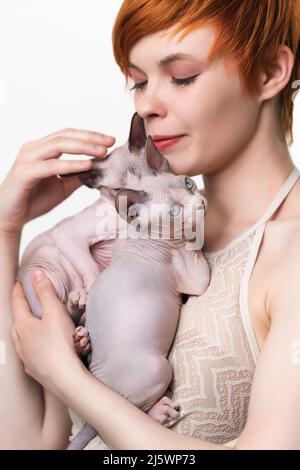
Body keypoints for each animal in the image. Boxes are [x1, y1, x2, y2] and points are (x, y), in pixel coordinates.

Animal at [15, 113, 209, 448]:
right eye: (173, 211)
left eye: (188, 182)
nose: (199, 204)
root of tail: (101, 383)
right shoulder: (73, 235)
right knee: (134, 408)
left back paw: (81, 332)